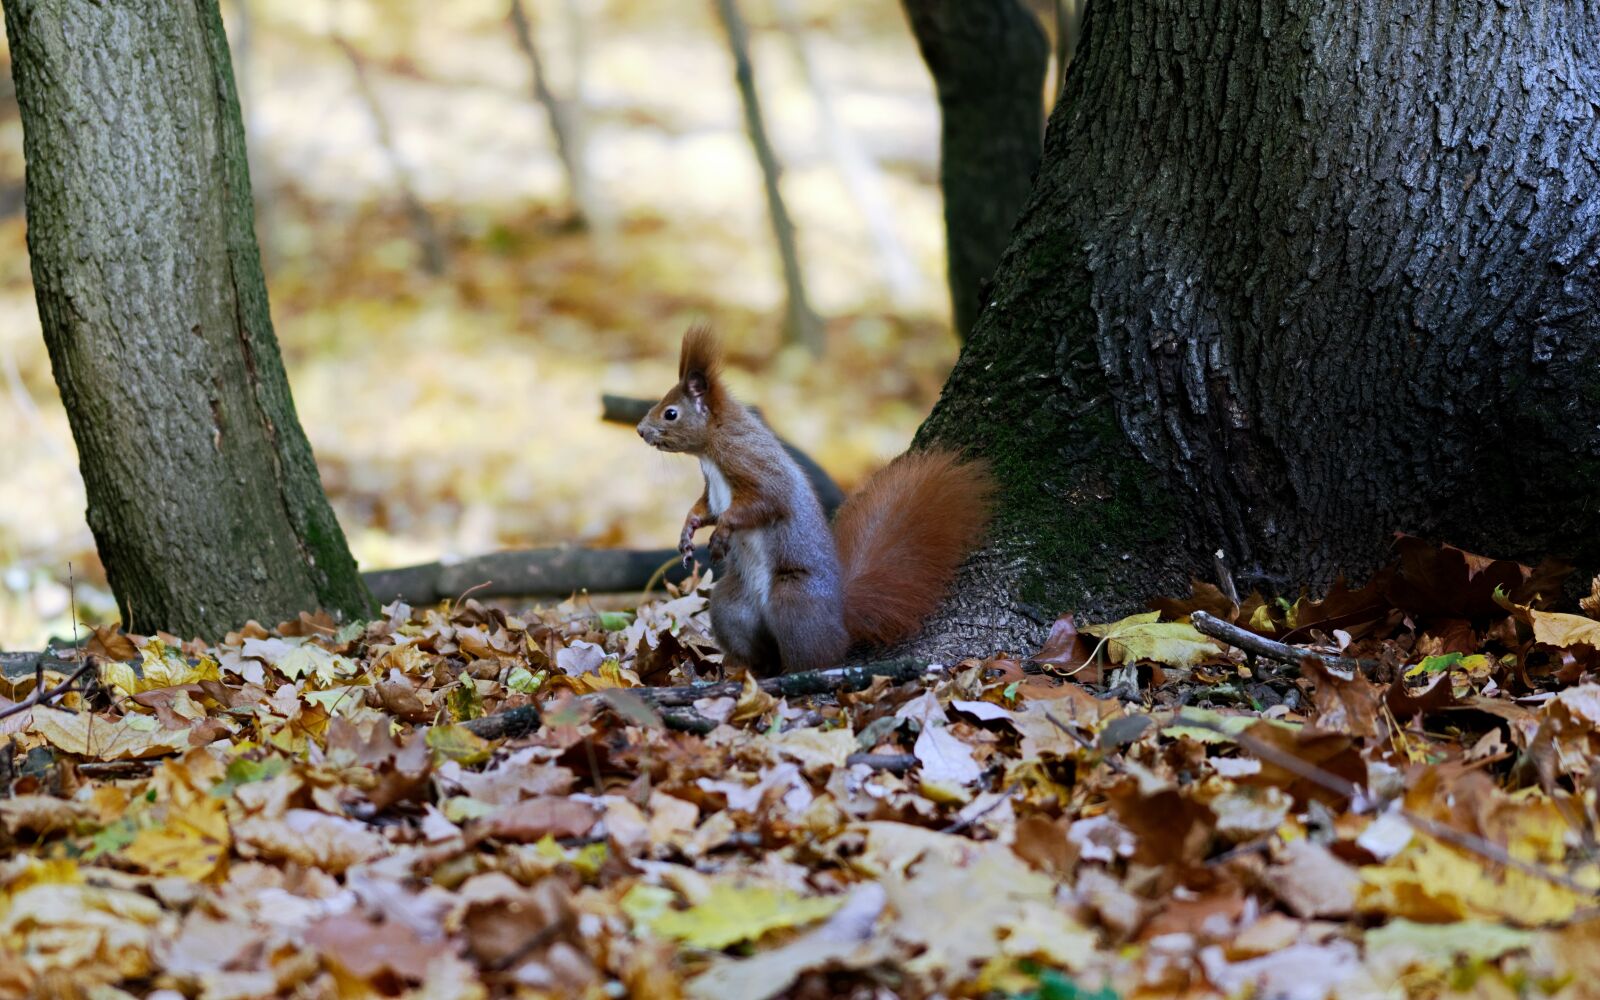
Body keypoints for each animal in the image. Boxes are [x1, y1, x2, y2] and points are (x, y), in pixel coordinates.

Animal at [636, 325, 995, 675]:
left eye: (670, 413)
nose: (640, 430)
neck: (711, 449)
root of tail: (838, 618)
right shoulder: (712, 489)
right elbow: (704, 509)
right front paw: (687, 532)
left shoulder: (755, 467)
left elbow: (761, 503)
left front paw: (721, 533)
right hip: (731, 608)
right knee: (758, 646)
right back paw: (748, 670)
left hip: (794, 601)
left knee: (815, 655)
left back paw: (795, 674)